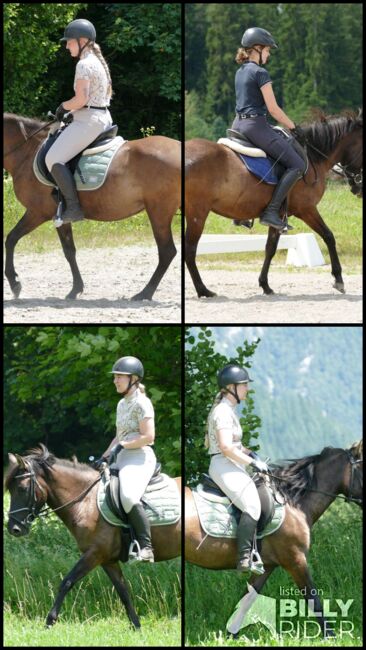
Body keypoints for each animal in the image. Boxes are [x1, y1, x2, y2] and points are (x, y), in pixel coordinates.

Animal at [4, 112, 182, 300]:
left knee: (167, 251)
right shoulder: (59, 217)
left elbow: (11, 239)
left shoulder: (37, 212)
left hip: (159, 212)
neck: (26, 153)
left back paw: (145, 293)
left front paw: (14, 283)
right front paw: (76, 289)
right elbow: (69, 251)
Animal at [5, 442, 182, 624]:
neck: (86, 502)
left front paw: (50, 621)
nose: (13, 528)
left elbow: (67, 582)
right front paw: (136, 625)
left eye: (22, 488)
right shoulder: (108, 560)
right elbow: (123, 591)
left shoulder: (94, 554)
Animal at [186, 109, 364, 296]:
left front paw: (265, 284)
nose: (358, 188)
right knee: (190, 250)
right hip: (198, 213)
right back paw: (203, 290)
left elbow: (270, 248)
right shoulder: (306, 209)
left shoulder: (277, 216)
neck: (313, 157)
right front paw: (338, 279)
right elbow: (328, 236)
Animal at [186, 438, 364, 636]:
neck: (293, 504)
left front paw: (230, 634)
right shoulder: (295, 560)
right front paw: (330, 636)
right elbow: (313, 599)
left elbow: (247, 600)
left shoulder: (267, 566)